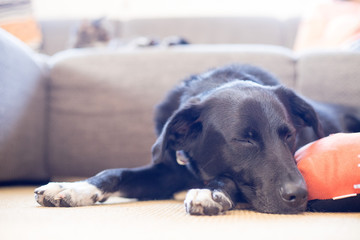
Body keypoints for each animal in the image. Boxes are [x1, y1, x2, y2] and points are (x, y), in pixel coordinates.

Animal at [35, 64, 360, 216]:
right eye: (244, 140)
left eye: (289, 135)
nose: (301, 195)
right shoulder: (167, 173)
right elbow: (115, 172)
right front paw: (74, 188)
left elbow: (227, 179)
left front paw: (211, 192)